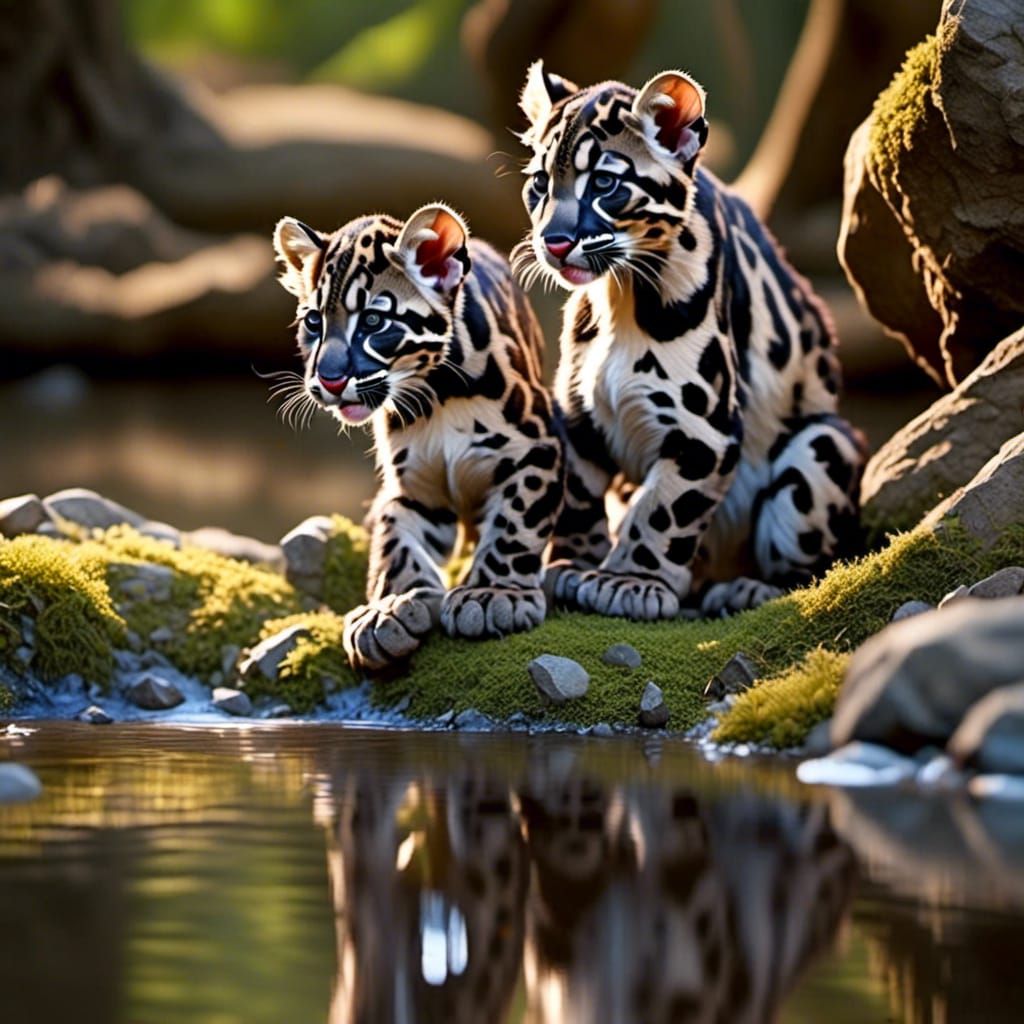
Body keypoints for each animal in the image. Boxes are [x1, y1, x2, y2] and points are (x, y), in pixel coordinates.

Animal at [273, 203, 562, 671]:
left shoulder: (536, 448)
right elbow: (395, 541)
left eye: (373, 321)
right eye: (313, 322)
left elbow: (516, 523)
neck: (436, 395)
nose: (329, 380)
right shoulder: (410, 486)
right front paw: (390, 608)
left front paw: (492, 593)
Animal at [515, 61, 867, 619]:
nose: (553, 241)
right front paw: (572, 567)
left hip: (822, 443)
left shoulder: (703, 429)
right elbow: (576, 502)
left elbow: (663, 510)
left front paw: (631, 581)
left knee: (810, 568)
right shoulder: (576, 419)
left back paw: (747, 589)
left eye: (605, 183)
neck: (619, 295)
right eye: (540, 184)